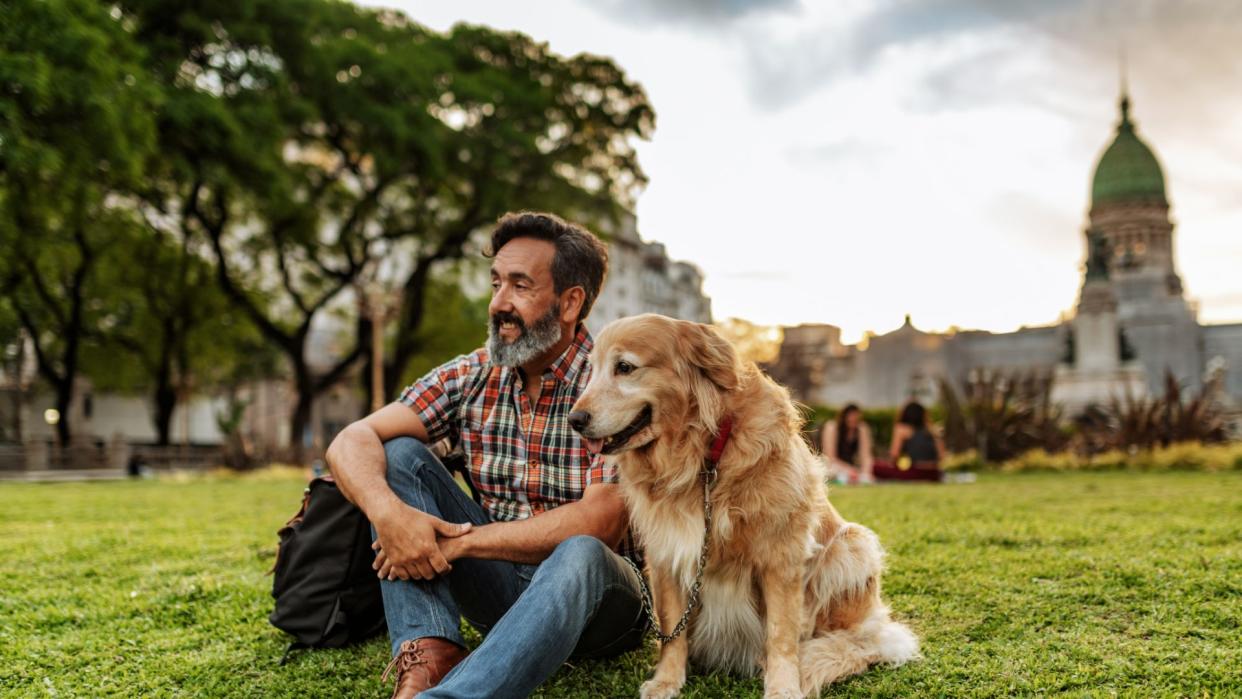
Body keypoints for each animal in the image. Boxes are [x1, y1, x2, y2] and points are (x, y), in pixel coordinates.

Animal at [568, 317, 919, 699]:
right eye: (591, 370)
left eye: (625, 367)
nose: (574, 420)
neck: (702, 456)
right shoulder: (667, 556)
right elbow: (673, 633)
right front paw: (667, 681)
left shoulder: (782, 556)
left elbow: (781, 635)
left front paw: (783, 687)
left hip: (851, 546)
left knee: (860, 643)